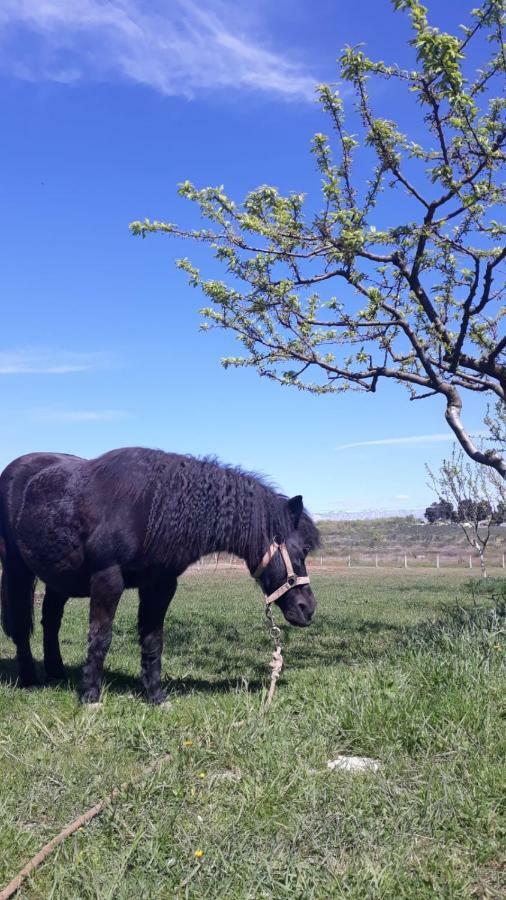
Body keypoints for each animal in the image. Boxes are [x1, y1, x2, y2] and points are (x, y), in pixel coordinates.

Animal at [0, 448, 318, 704]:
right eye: (302, 550)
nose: (308, 609)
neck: (152, 504)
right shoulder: (107, 579)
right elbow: (100, 636)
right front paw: (90, 696)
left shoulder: (160, 585)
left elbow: (153, 640)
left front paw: (155, 696)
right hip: (17, 569)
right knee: (21, 624)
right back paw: (29, 679)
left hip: (59, 578)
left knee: (50, 620)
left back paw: (56, 672)